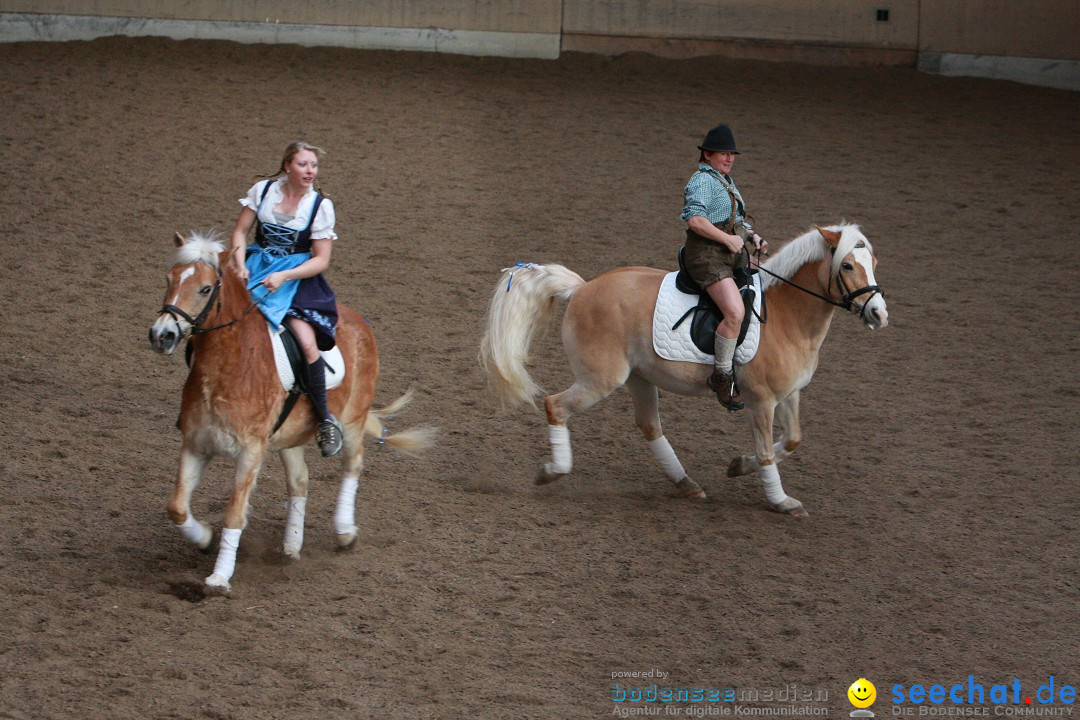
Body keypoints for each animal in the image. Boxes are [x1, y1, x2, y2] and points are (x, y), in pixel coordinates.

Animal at [149, 234, 434, 595]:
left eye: (204, 288)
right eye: (169, 279)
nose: (161, 335)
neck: (226, 366)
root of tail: (358, 319)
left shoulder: (251, 451)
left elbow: (234, 512)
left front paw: (219, 577)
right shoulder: (196, 443)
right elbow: (176, 506)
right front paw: (204, 539)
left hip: (352, 421)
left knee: (352, 464)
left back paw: (344, 532)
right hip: (289, 436)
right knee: (299, 480)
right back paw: (291, 547)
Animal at [481, 223, 885, 511]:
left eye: (874, 265)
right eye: (847, 265)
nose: (879, 314)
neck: (787, 317)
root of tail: (582, 289)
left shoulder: (789, 394)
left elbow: (792, 440)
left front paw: (739, 465)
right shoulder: (761, 401)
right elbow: (768, 451)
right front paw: (780, 501)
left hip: (639, 378)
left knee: (649, 427)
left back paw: (686, 484)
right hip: (601, 380)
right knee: (555, 405)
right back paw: (552, 471)